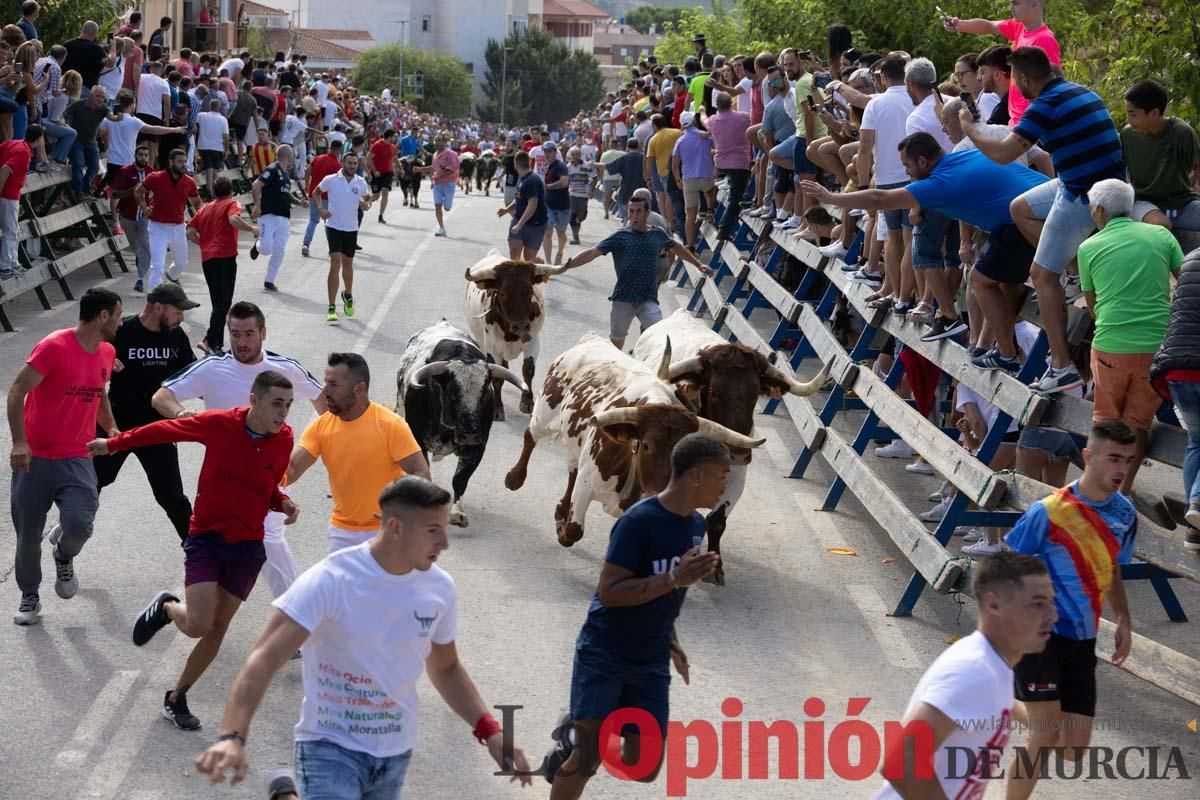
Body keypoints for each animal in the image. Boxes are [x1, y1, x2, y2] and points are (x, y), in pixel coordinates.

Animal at [398, 321, 525, 527]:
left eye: (484, 393)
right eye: (453, 393)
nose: (470, 434)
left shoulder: (478, 446)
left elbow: (460, 479)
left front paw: (457, 513)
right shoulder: (416, 440)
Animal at [465, 253, 559, 422]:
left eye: (529, 290)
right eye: (502, 293)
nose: (520, 326)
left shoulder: (533, 340)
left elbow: (528, 369)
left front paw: (527, 402)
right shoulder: (492, 347)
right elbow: (497, 376)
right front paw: (497, 408)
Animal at [506, 331, 768, 556]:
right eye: (647, 446)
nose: (661, 491)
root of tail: (592, 338)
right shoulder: (586, 484)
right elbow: (573, 531)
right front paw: (563, 527)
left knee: (571, 467)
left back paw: (560, 507)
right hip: (545, 410)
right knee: (531, 437)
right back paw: (514, 478)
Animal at [633, 309, 830, 585]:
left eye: (755, 393)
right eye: (715, 392)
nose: (739, 454)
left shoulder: (735, 478)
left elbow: (716, 521)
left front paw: (715, 568)